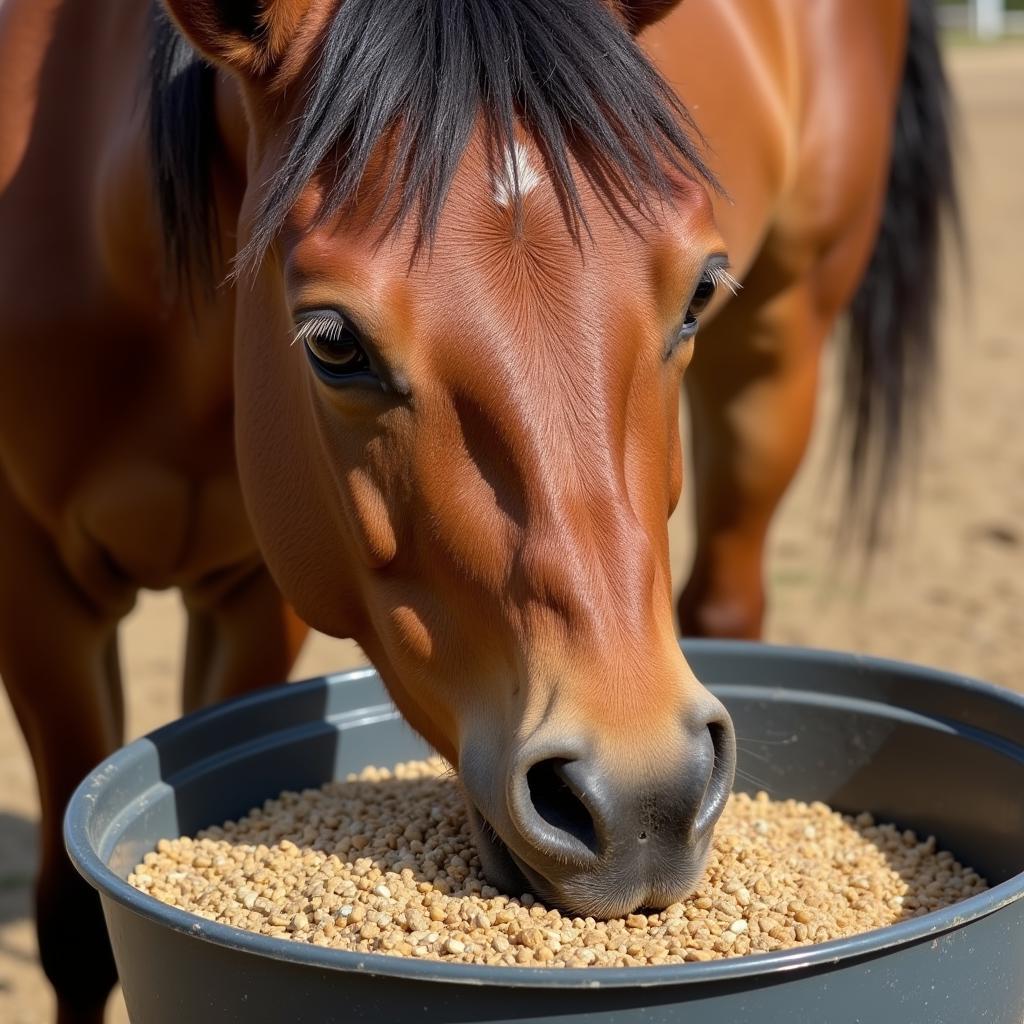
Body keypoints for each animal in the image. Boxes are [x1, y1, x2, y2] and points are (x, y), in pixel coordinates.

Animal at [2, 0, 958, 1019]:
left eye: (700, 287)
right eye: (332, 342)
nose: (644, 798)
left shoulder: (252, 593)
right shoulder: (40, 596)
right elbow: (76, 931)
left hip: (779, 360)